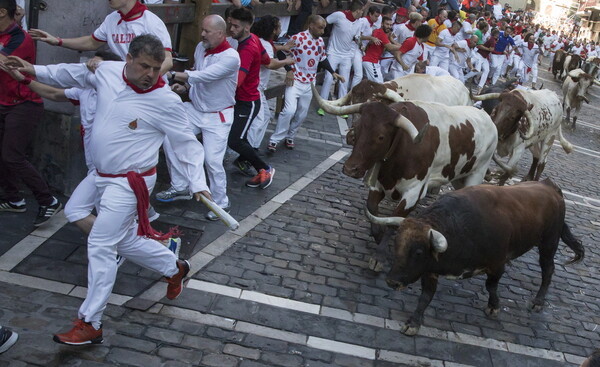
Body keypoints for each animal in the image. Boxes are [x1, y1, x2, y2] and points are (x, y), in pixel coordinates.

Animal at [312, 89, 500, 274]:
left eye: (381, 137)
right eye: (356, 129)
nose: (350, 169)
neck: (402, 145)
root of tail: (486, 117)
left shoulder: (413, 193)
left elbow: (395, 221)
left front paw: (379, 255)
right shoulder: (379, 184)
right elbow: (372, 209)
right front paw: (378, 234)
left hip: (476, 174)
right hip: (459, 177)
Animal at [366, 180, 580, 338]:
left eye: (418, 252)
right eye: (396, 244)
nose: (392, 281)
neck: (460, 229)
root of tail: (550, 187)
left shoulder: (497, 265)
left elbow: (491, 286)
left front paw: (493, 306)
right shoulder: (430, 270)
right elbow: (425, 297)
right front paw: (413, 322)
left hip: (549, 243)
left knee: (548, 269)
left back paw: (538, 301)